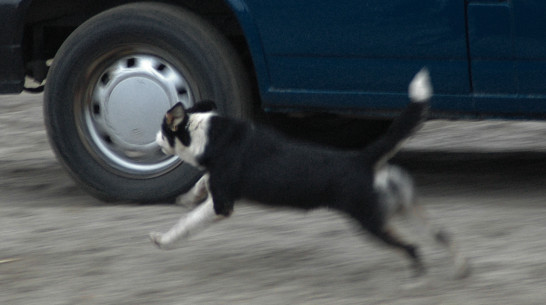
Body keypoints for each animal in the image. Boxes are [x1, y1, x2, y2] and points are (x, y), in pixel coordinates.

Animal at [152, 69, 468, 278]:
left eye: (163, 130)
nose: (154, 139)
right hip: (405, 210)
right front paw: (188, 196)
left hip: (371, 222)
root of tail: (364, 160)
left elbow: (188, 222)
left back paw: (416, 278)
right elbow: (201, 183)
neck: (207, 134)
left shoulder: (222, 205)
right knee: (444, 236)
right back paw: (460, 268)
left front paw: (163, 239)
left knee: (412, 248)